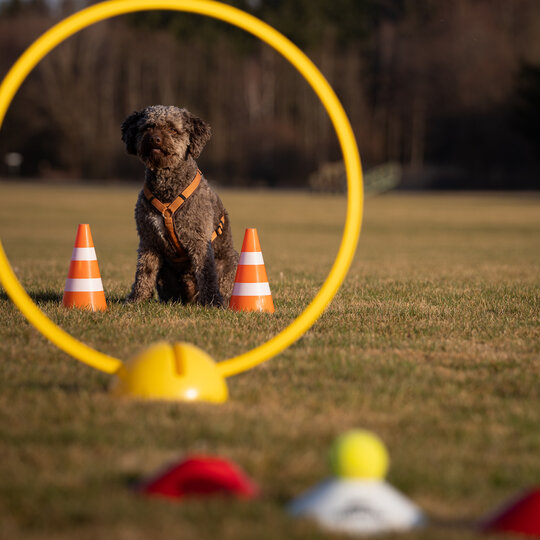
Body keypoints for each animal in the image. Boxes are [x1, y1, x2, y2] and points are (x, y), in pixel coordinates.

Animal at [123, 105, 239, 306]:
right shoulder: (148, 240)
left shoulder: (198, 240)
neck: (166, 188)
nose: (154, 139)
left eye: (172, 129)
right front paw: (137, 299)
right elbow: (144, 272)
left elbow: (207, 274)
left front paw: (213, 302)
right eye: (147, 127)